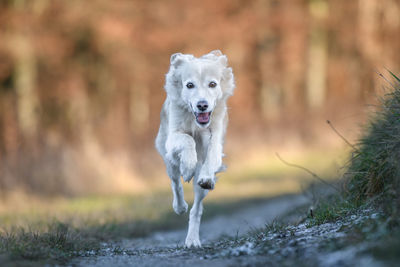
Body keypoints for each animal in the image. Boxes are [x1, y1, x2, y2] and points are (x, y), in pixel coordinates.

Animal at [154, 49, 234, 247]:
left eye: (212, 84)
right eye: (189, 85)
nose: (202, 105)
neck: (195, 121)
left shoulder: (215, 136)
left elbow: (211, 155)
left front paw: (205, 176)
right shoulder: (173, 136)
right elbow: (187, 139)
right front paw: (188, 167)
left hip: (201, 191)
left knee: (196, 209)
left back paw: (192, 240)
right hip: (169, 162)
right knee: (176, 183)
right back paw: (180, 205)